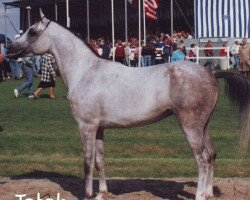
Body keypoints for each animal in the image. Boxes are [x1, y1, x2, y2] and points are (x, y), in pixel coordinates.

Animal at [6, 10, 249, 200]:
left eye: (32, 31)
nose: (9, 50)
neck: (85, 71)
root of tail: (210, 72)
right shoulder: (99, 128)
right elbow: (100, 160)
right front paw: (101, 193)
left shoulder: (86, 127)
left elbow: (87, 162)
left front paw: (88, 194)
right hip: (204, 126)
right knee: (212, 155)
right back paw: (208, 193)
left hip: (190, 126)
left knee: (202, 159)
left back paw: (199, 194)